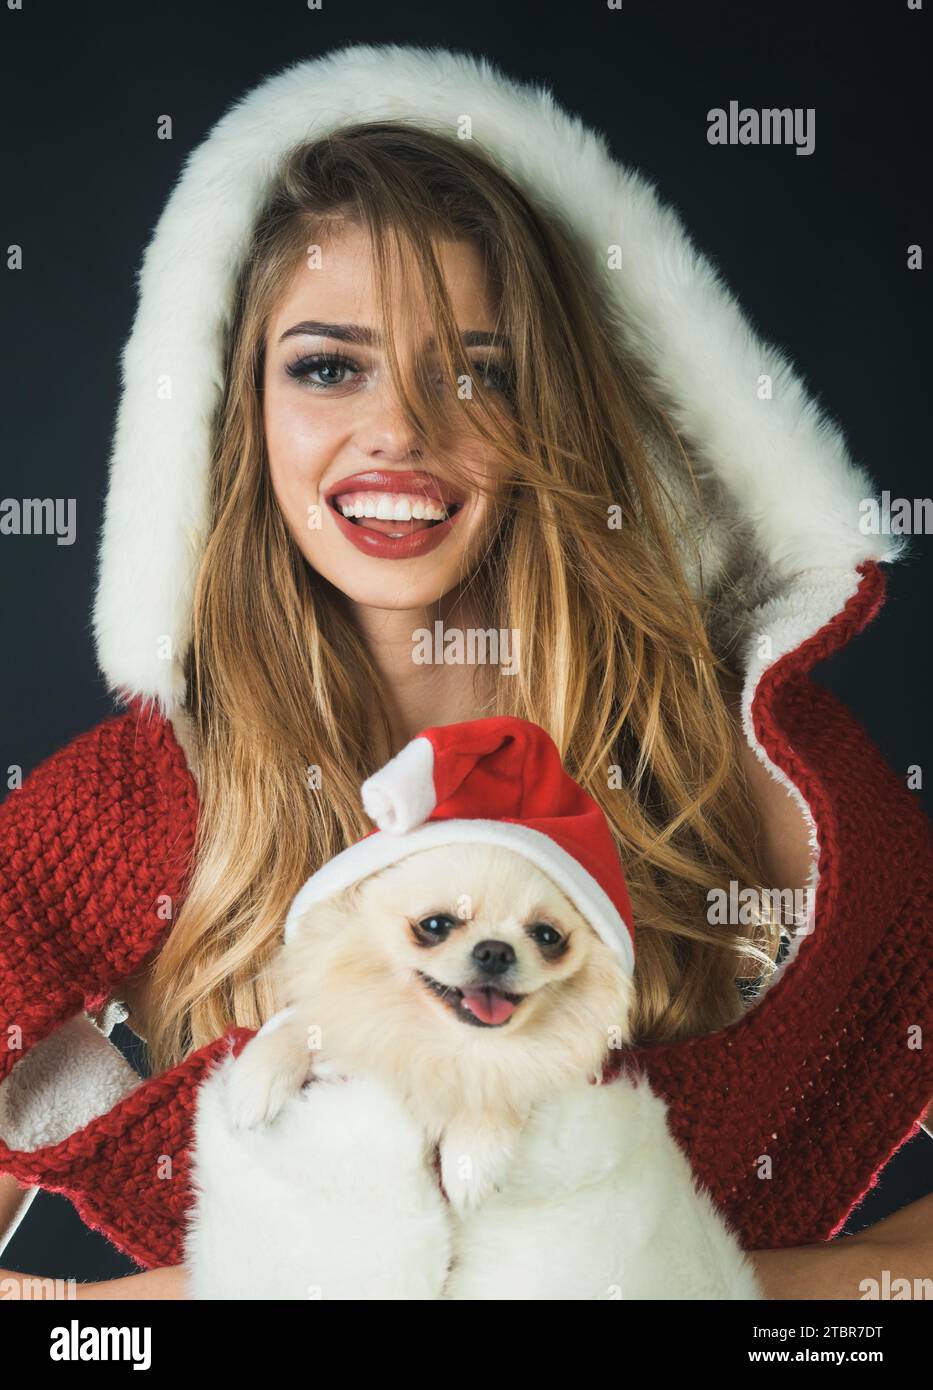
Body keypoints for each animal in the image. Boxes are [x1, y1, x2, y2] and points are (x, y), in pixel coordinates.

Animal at [180, 839, 756, 1306]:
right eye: (436, 925)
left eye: (547, 936)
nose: (496, 950)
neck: (449, 1043)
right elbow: (307, 1025)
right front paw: (255, 1081)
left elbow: (499, 1089)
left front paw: (471, 1158)